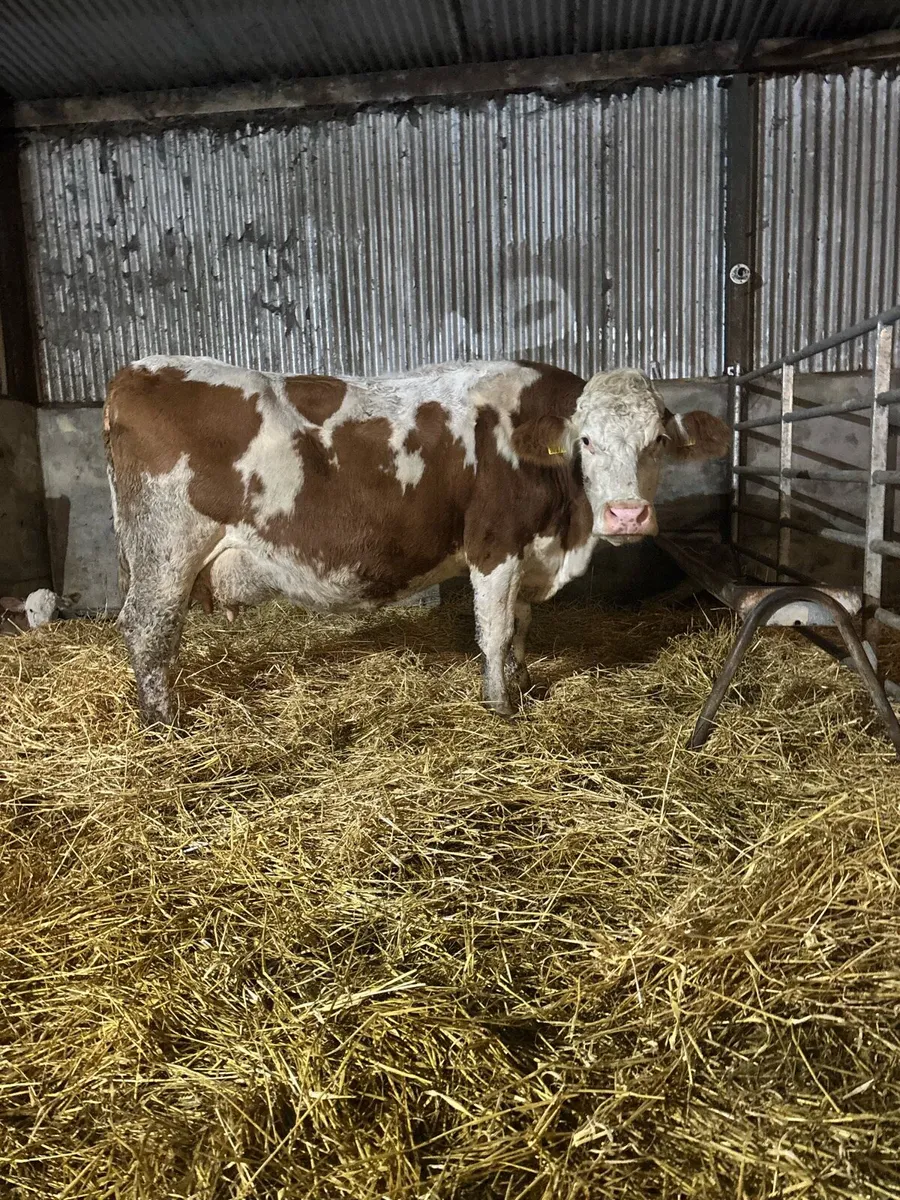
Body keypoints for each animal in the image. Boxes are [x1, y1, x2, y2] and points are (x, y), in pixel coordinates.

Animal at [103, 356, 729, 725]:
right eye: (588, 441)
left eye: (657, 442)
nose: (627, 515)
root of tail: (139, 370)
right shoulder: (494, 545)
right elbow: (495, 632)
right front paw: (501, 708)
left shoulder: (529, 555)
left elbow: (522, 626)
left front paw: (524, 684)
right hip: (165, 554)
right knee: (148, 631)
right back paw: (164, 724)